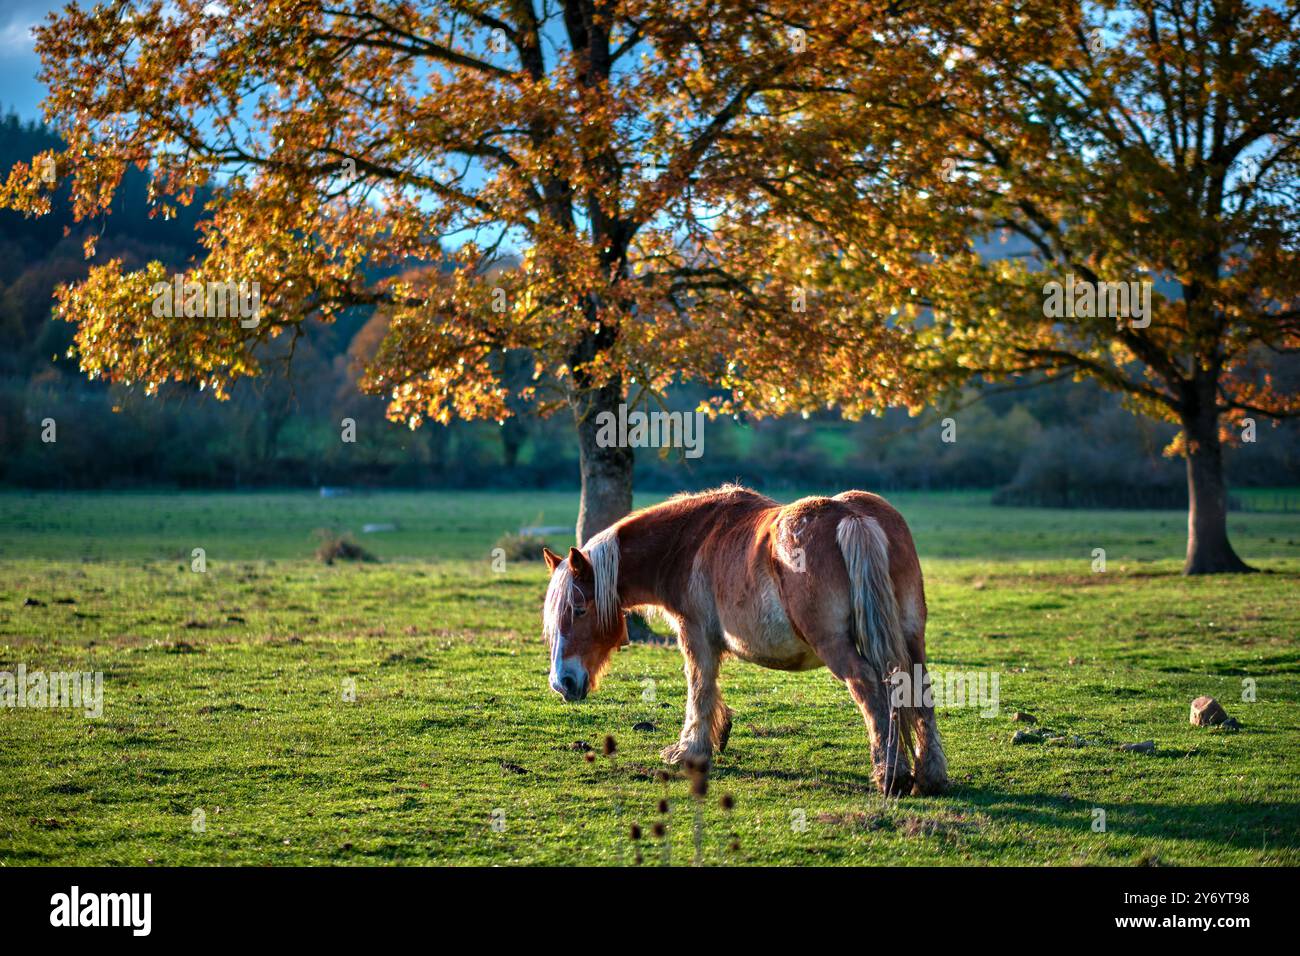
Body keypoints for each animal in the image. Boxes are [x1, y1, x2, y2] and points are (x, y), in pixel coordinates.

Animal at [540, 484, 949, 796]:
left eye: (578, 608)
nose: (562, 682)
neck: (689, 541)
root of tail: (852, 517)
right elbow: (709, 689)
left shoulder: (694, 634)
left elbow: (699, 688)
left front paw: (689, 749)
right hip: (911, 639)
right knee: (918, 691)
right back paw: (929, 778)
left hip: (837, 647)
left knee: (869, 689)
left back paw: (890, 776)